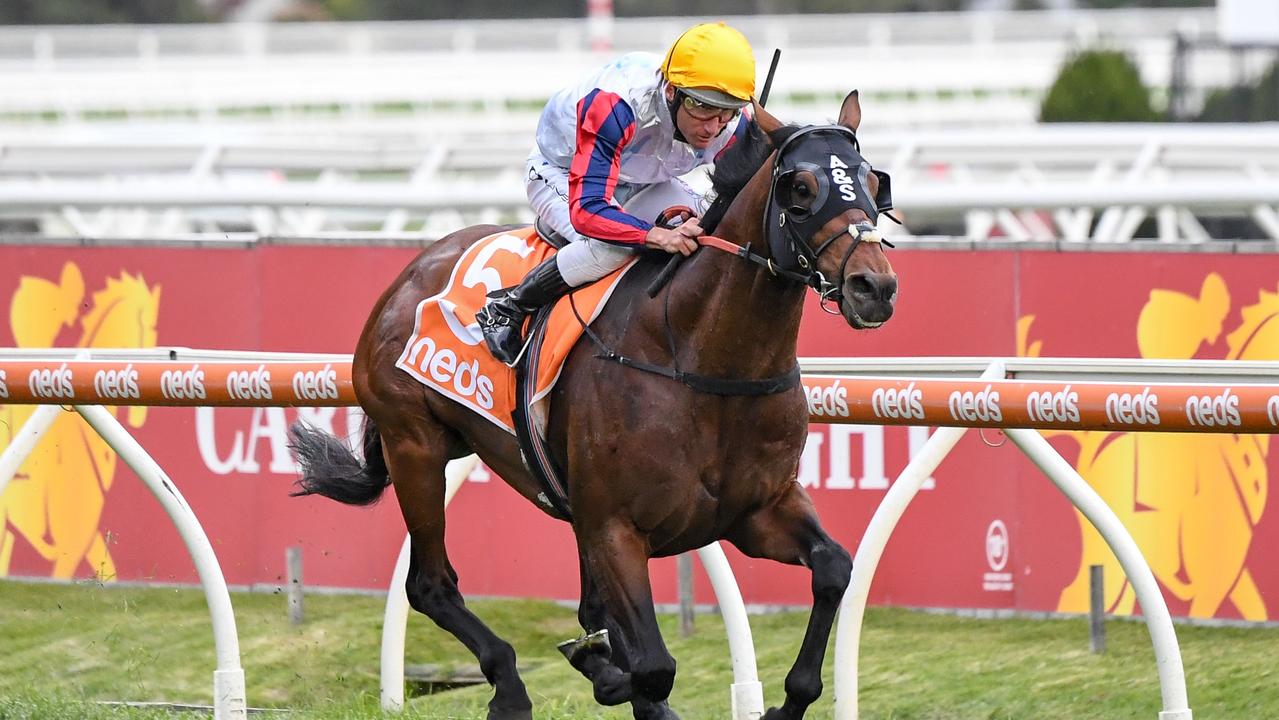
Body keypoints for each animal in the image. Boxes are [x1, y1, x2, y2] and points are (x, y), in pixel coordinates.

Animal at [292, 91, 900, 720]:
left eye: (872, 181)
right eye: (800, 189)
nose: (873, 288)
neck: (702, 362)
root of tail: (414, 269)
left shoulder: (755, 511)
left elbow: (834, 568)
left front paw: (785, 701)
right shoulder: (615, 528)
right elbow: (654, 667)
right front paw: (614, 676)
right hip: (414, 444)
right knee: (430, 583)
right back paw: (510, 685)